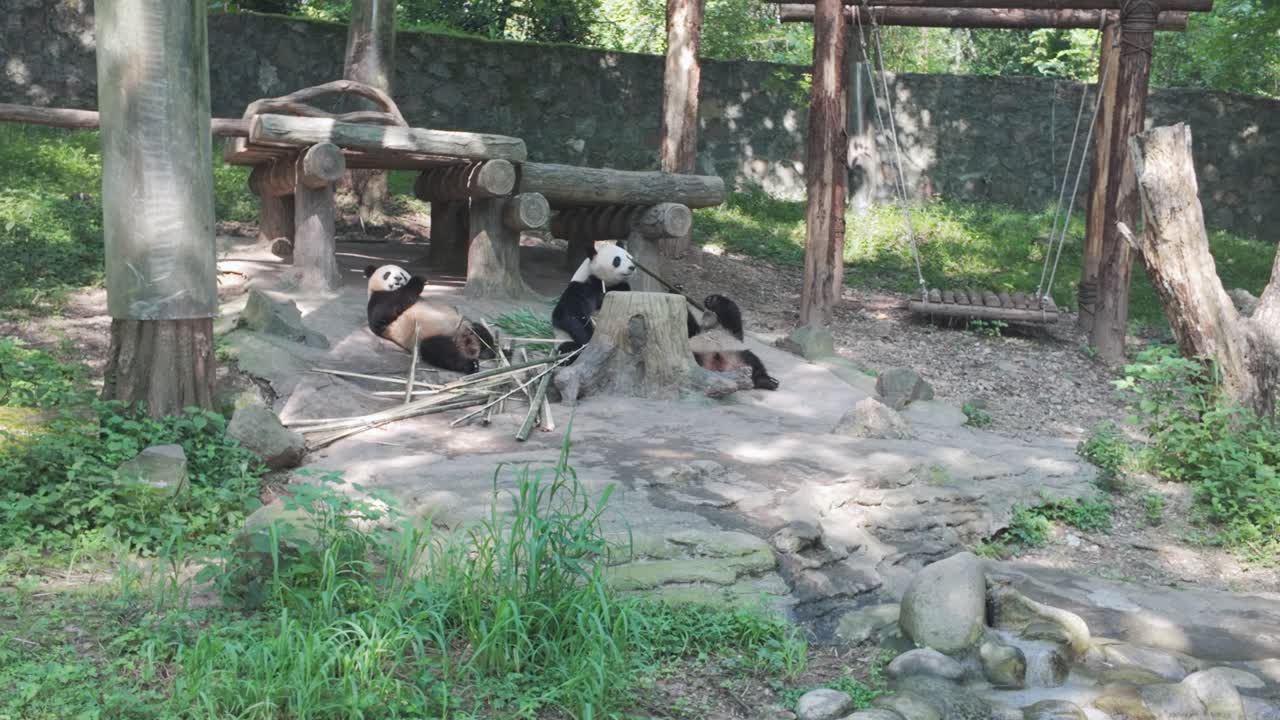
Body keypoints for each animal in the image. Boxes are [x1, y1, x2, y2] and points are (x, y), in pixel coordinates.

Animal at [363, 264, 496, 374]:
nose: (398, 278)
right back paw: (471, 364)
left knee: (479, 330)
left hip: (464, 325)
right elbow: (390, 306)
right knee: (441, 352)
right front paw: (418, 280)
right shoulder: (379, 300)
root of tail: (465, 342)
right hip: (430, 336)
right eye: (387, 274)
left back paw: (490, 351)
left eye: (402, 274)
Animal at [550, 244, 778, 391]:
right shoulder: (583, 287)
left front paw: (709, 300)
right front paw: (589, 337)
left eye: (629, 256)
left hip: (733, 351)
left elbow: (707, 322)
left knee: (752, 359)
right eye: (617, 260)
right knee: (566, 349)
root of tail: (719, 364)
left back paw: (766, 381)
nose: (632, 267)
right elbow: (568, 315)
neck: (605, 283)